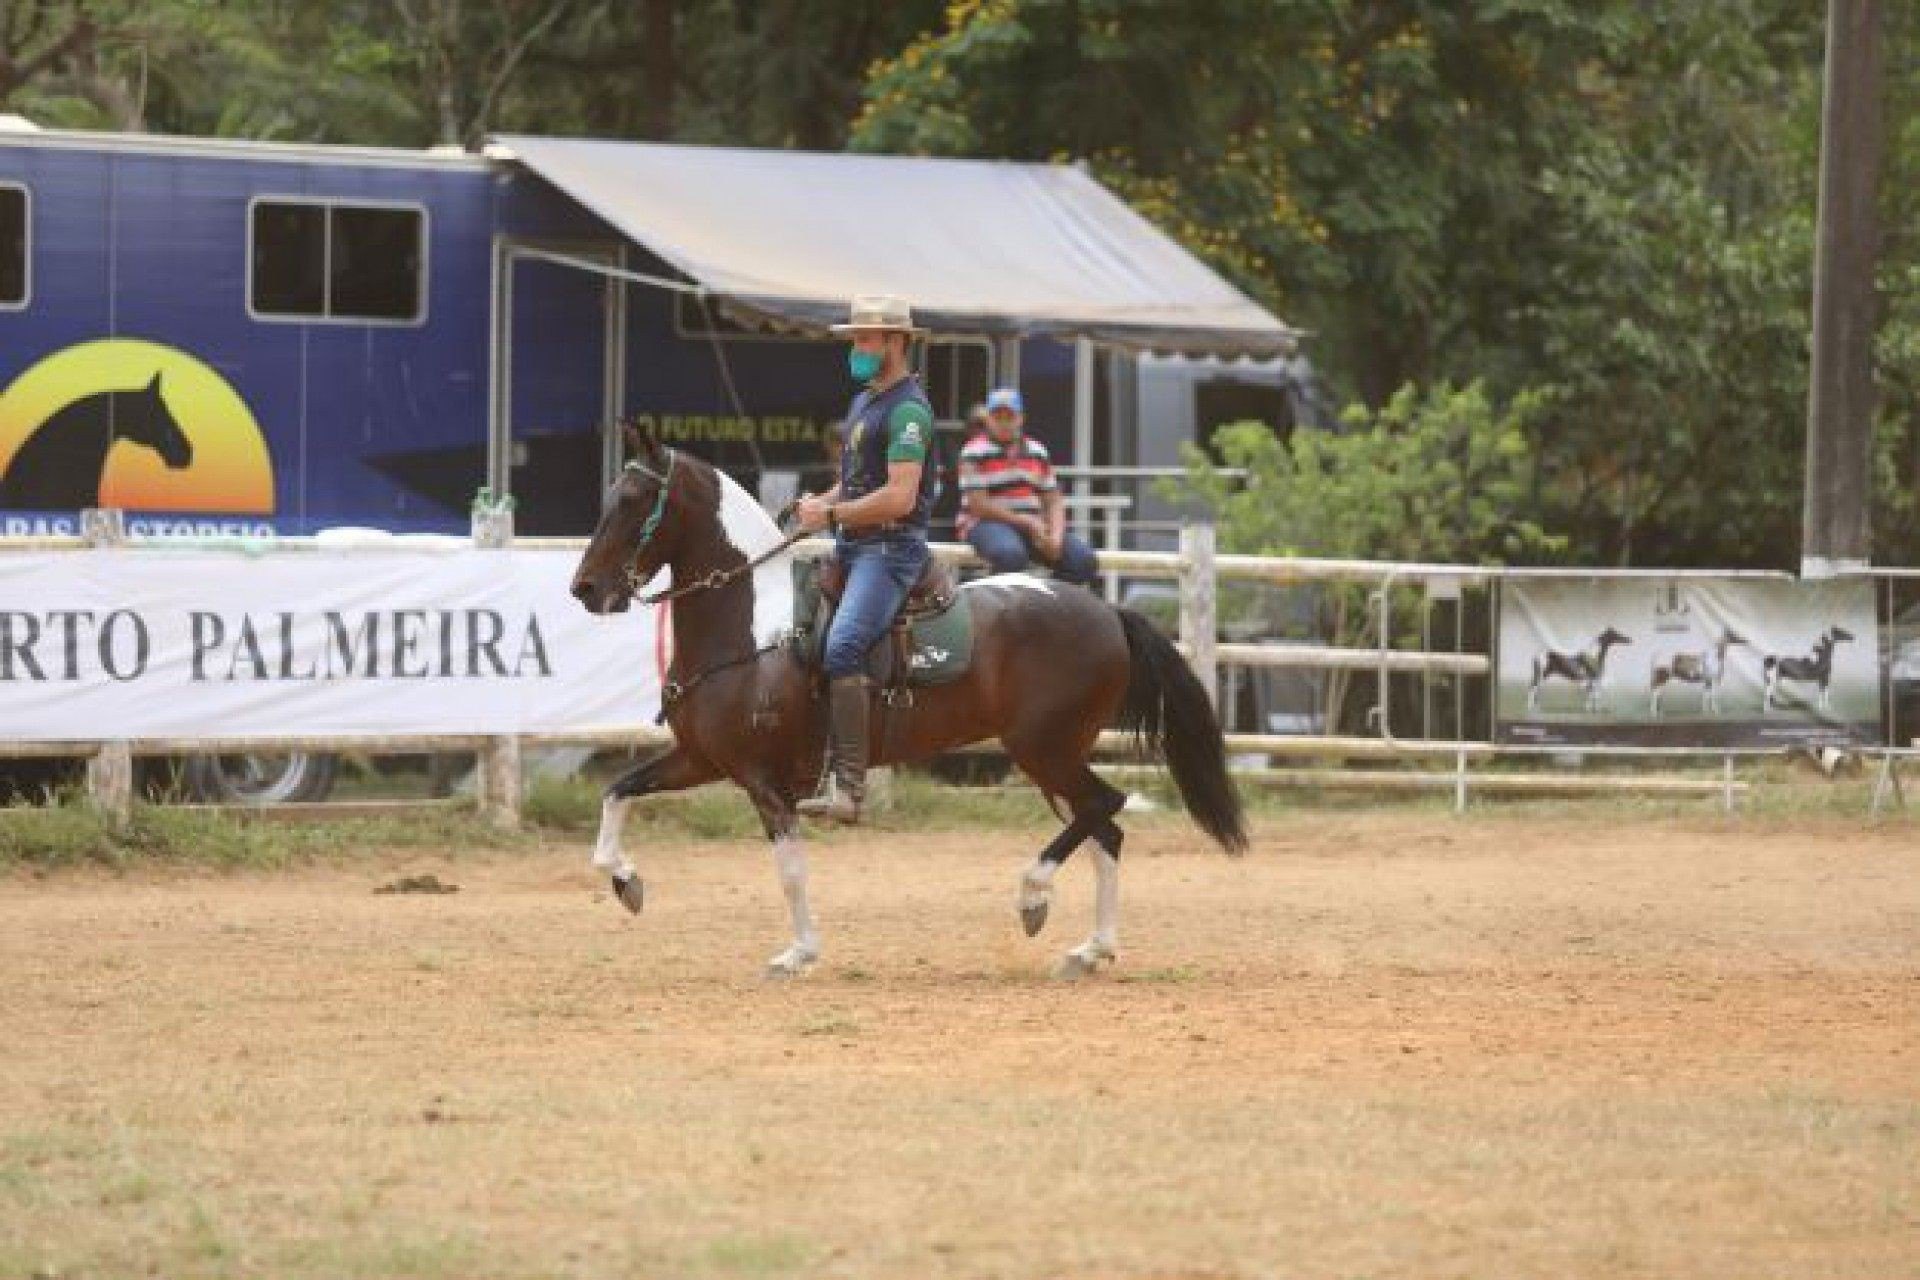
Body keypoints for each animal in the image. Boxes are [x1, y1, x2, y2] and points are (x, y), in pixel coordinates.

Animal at [560, 426, 1244, 974]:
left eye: (631, 499)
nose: (585, 588)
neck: (750, 631)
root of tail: (1107, 611)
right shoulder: (700, 759)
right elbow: (616, 793)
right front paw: (625, 881)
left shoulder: (761, 778)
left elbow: (789, 869)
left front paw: (798, 953)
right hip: (1056, 756)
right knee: (1105, 829)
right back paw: (1089, 950)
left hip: (1043, 750)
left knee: (1105, 808)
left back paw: (1033, 899)